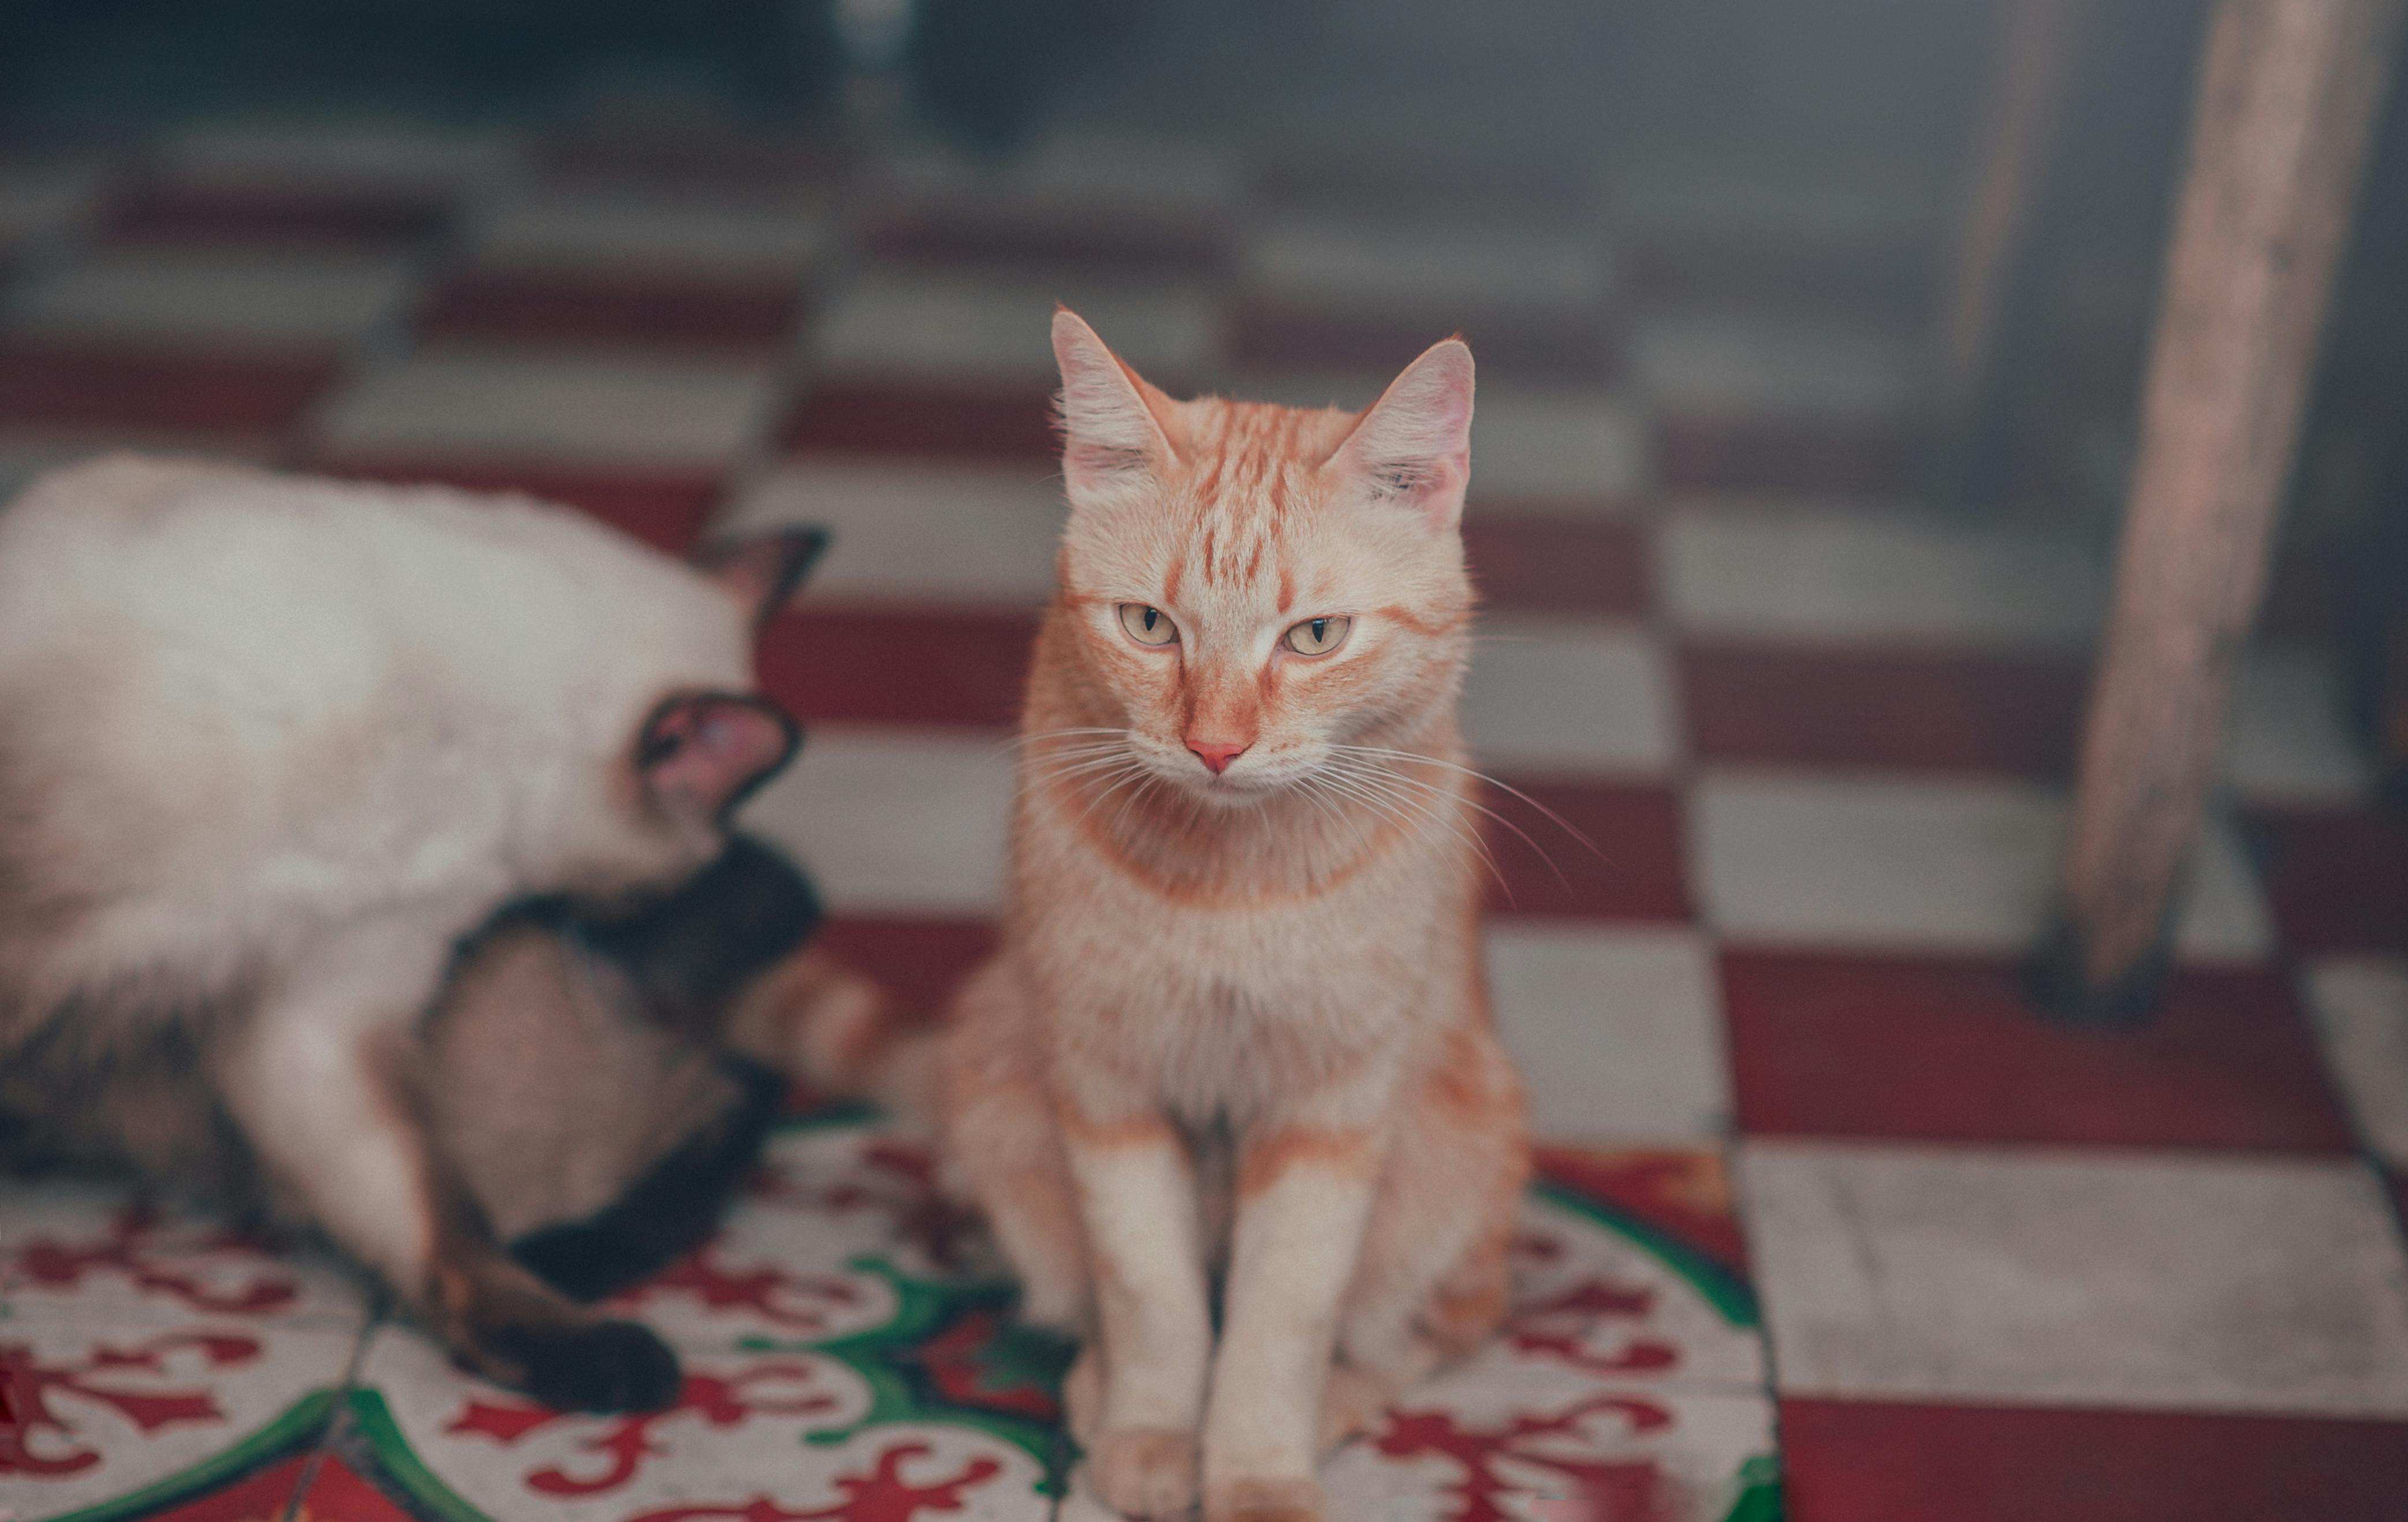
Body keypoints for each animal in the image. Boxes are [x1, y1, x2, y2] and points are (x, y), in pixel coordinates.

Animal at [939, 313, 1522, 1522]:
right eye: (1149, 626)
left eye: (1314, 637)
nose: (1214, 746)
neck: (1230, 886)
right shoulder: (1107, 1086)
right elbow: (1152, 1295)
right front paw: (1154, 1436)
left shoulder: (1329, 1112)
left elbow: (1279, 1321)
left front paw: (1255, 1470)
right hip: (995, 1087)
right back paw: (1096, 1391)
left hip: (1451, 1150)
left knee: (1427, 1330)